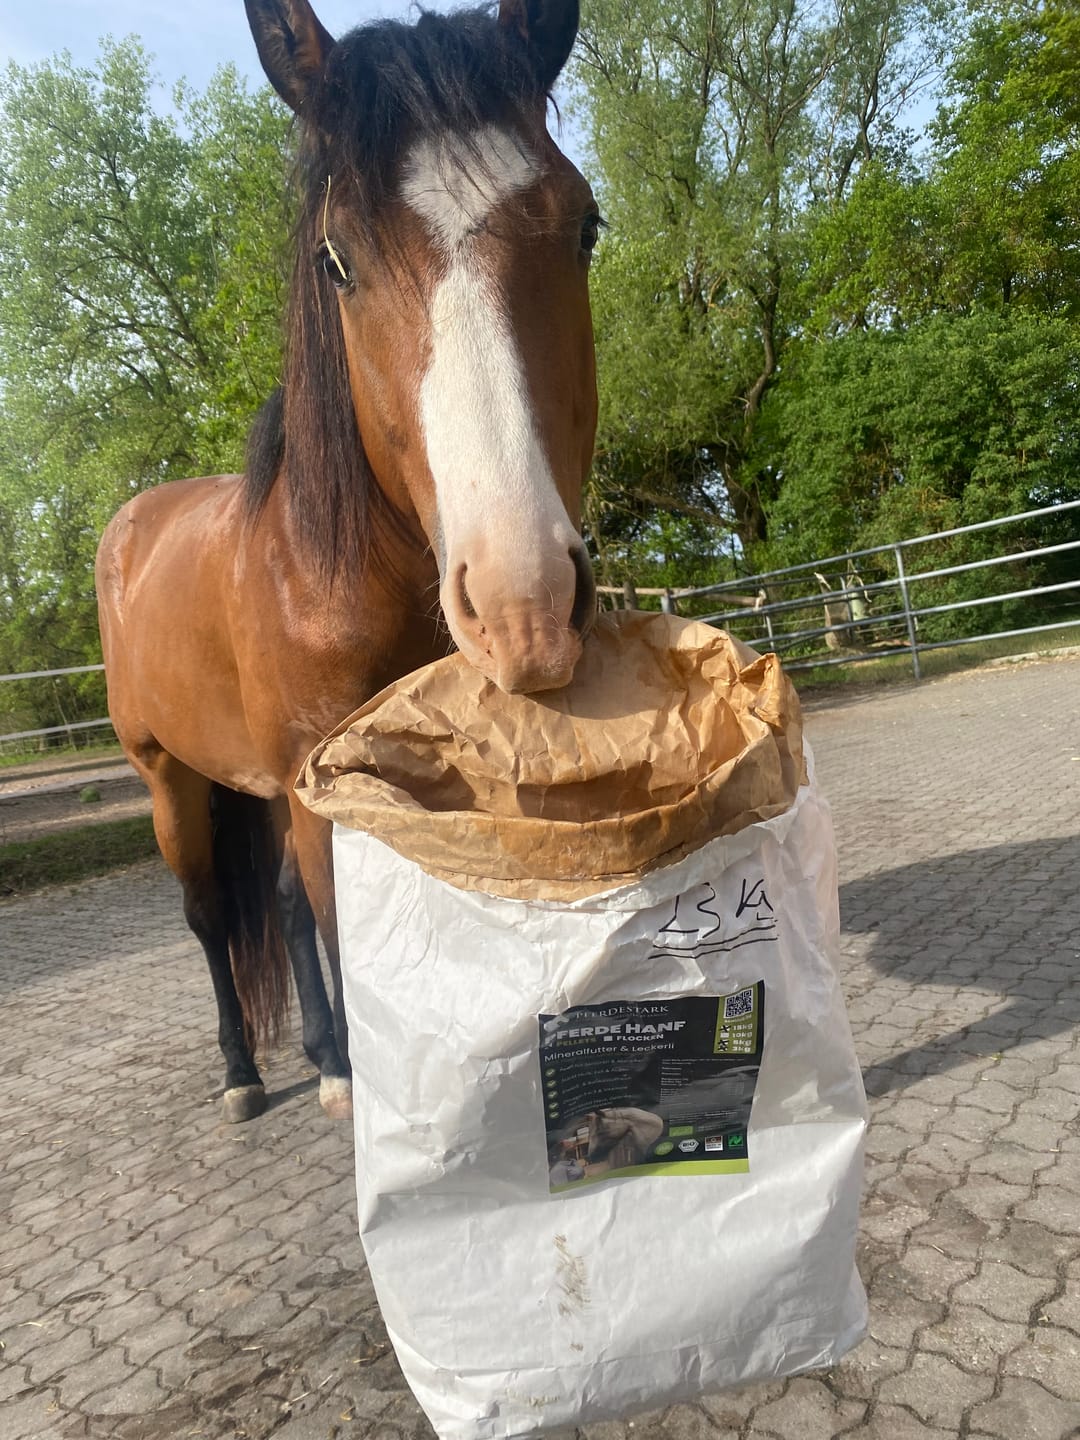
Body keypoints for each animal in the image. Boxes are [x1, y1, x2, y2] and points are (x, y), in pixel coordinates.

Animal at [95, 0, 599, 1125]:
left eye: (586, 227)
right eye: (337, 261)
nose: (526, 602)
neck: (332, 572)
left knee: (277, 905)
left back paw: (328, 1062)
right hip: (171, 782)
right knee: (210, 915)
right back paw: (244, 1075)